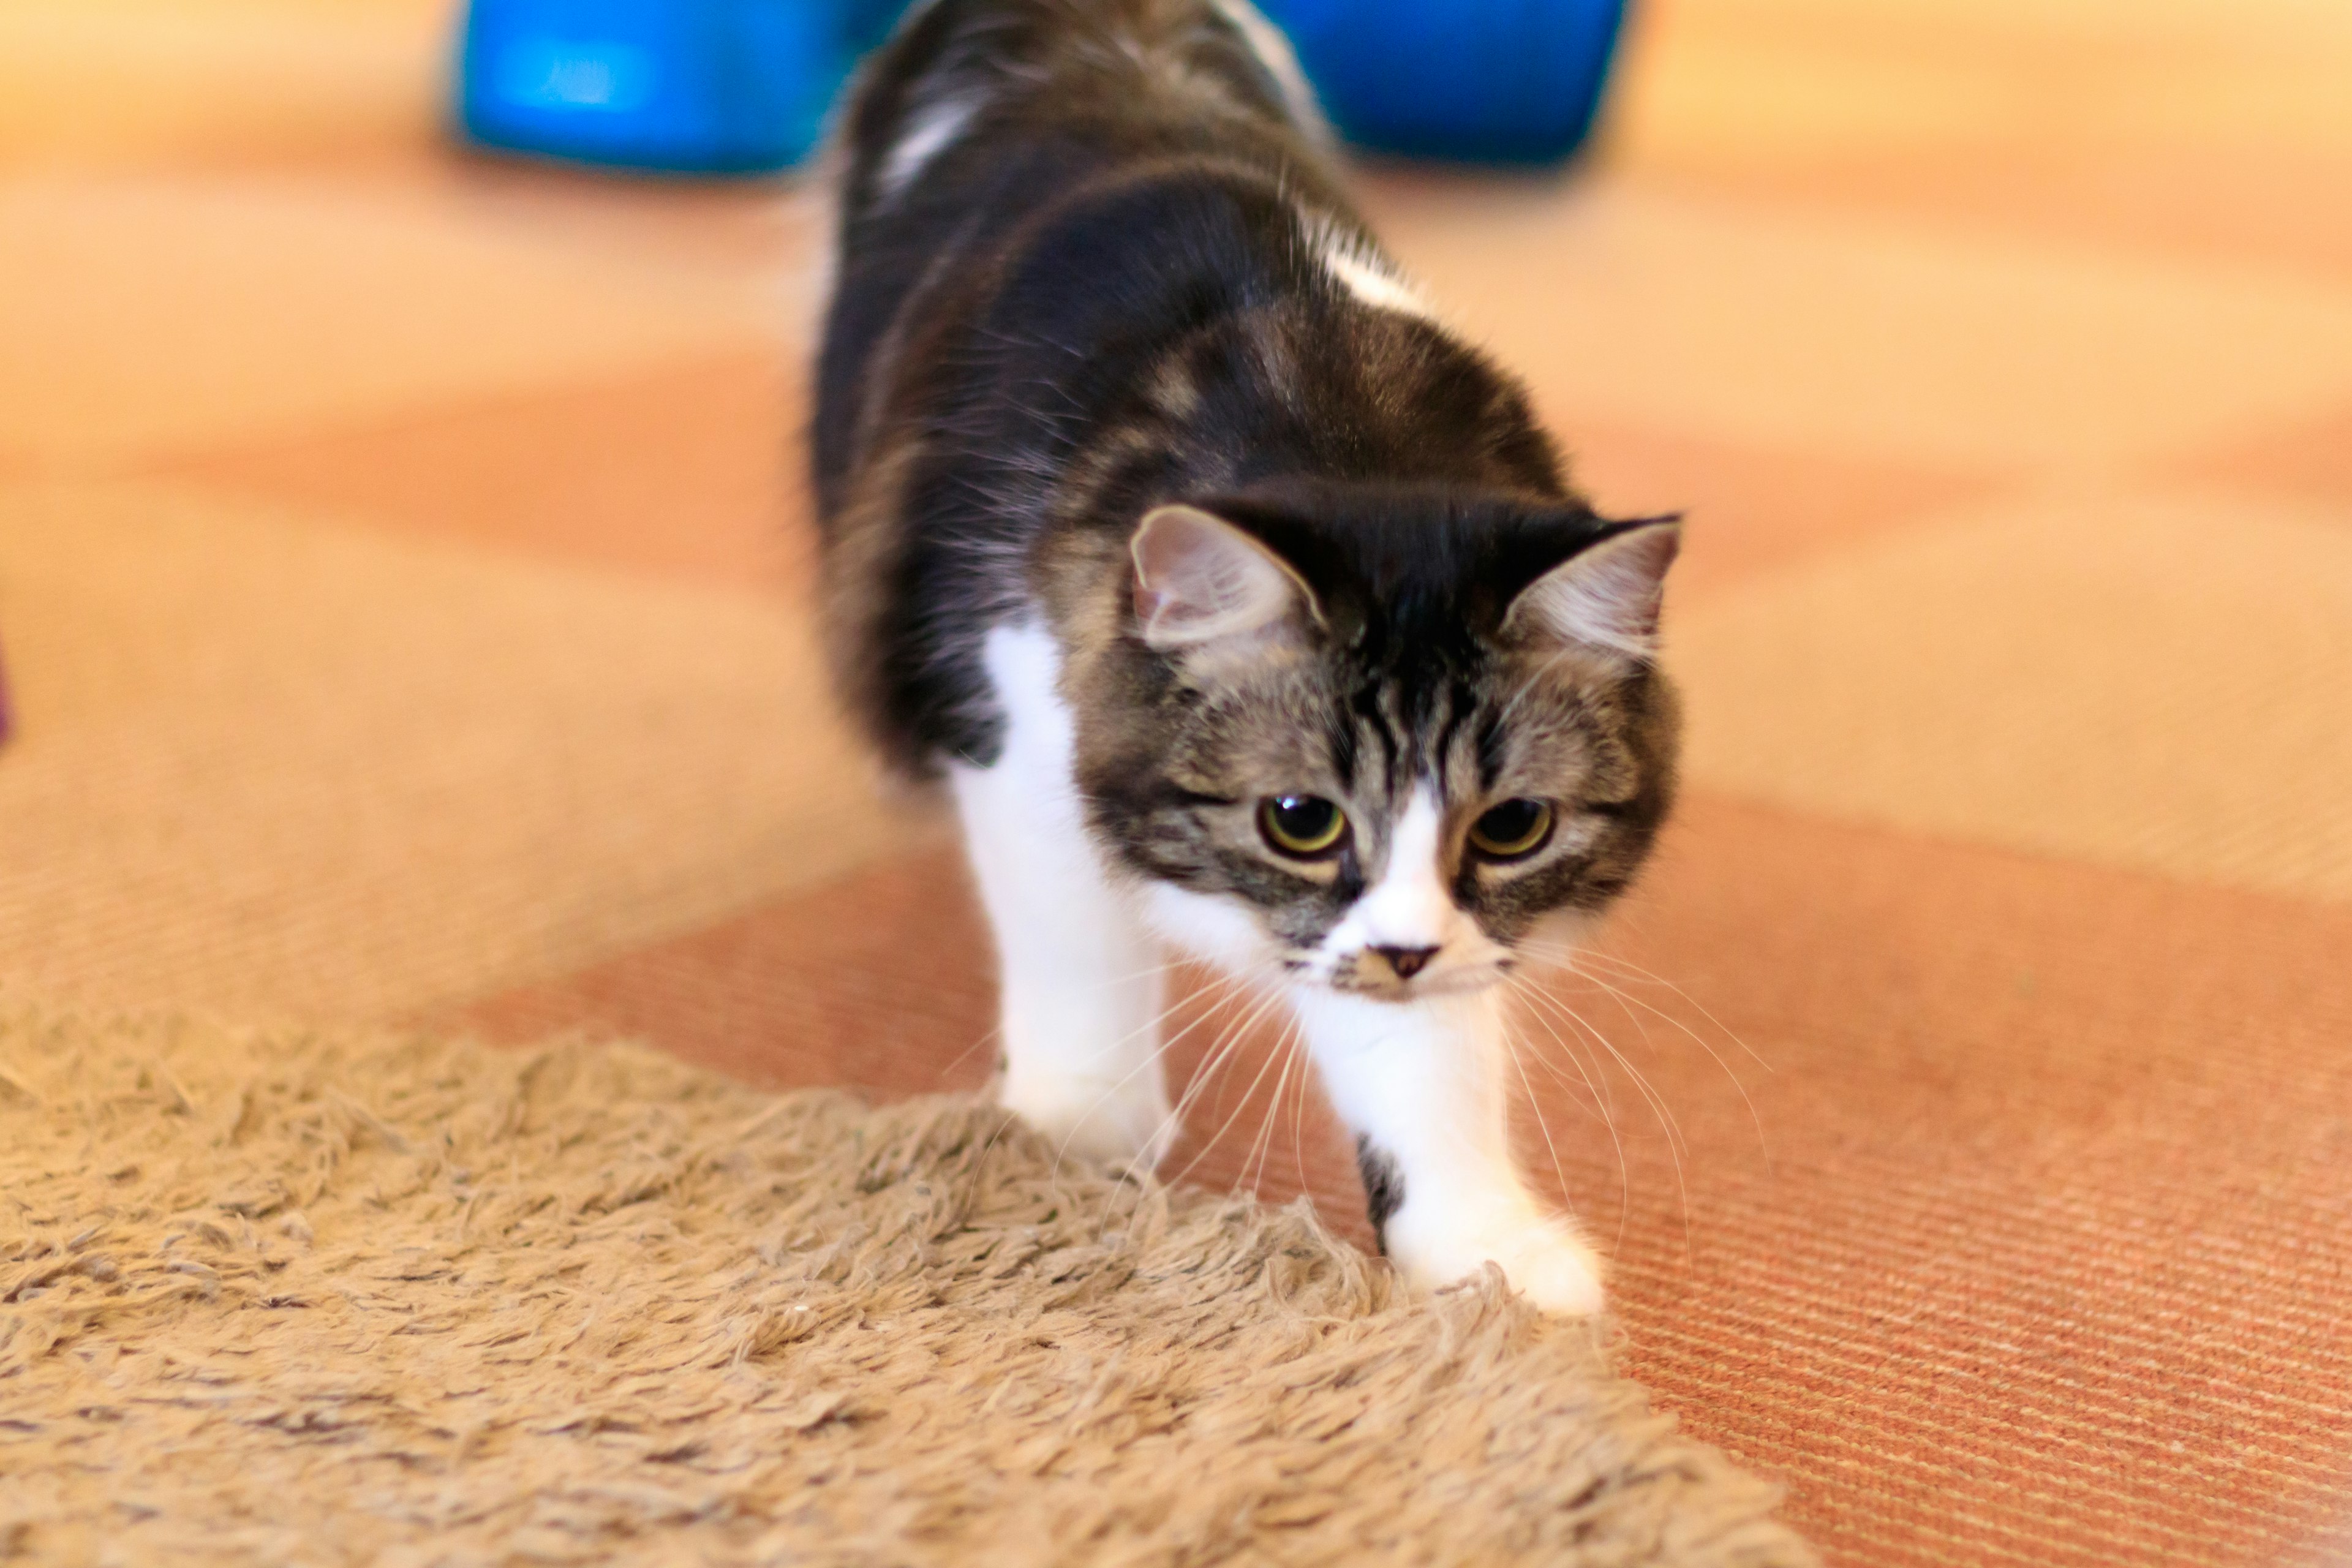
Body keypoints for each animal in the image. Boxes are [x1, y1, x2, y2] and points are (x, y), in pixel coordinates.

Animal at [818, 0, 1684, 1316]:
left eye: (1512, 828)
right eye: (1300, 820)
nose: (1404, 951)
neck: (1329, 410)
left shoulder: (1418, 948)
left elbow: (1428, 1063)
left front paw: (1484, 1258)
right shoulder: (1014, 721)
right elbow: (1076, 955)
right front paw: (1070, 1144)